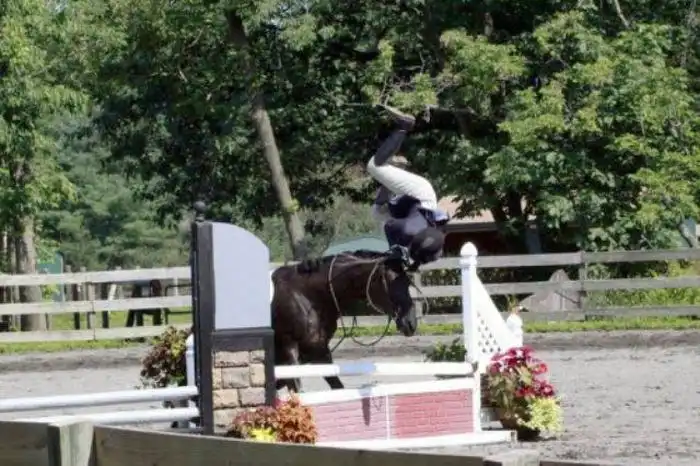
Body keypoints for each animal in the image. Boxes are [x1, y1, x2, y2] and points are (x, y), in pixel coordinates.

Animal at [270, 249, 417, 393]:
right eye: (391, 281)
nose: (411, 322)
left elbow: (337, 387)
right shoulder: (289, 350)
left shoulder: (319, 351)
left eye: (407, 282)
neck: (304, 295)